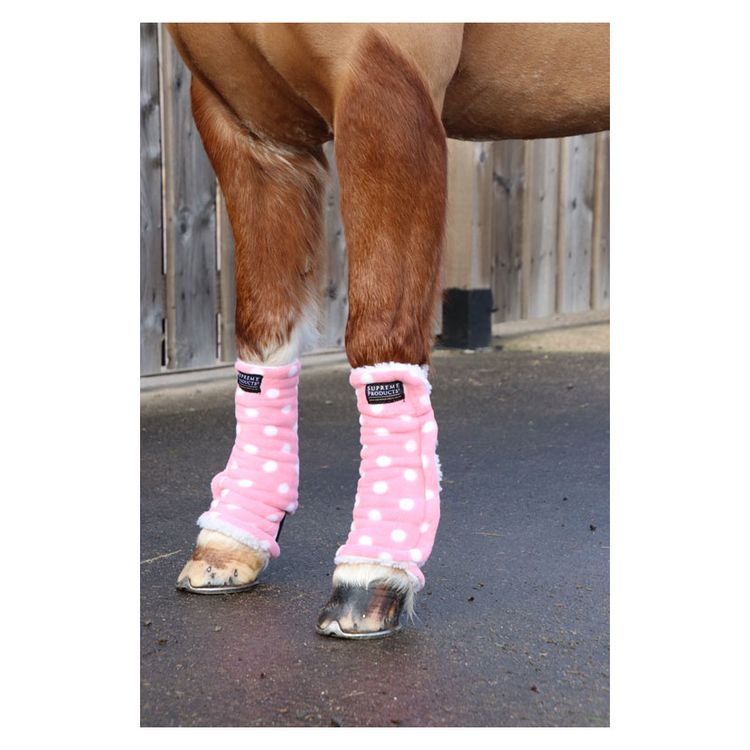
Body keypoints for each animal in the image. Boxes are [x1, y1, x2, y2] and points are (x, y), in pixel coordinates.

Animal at [166, 22, 609, 638]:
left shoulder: (386, 80)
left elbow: (381, 340)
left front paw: (373, 570)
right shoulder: (242, 117)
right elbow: (262, 333)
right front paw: (233, 537)